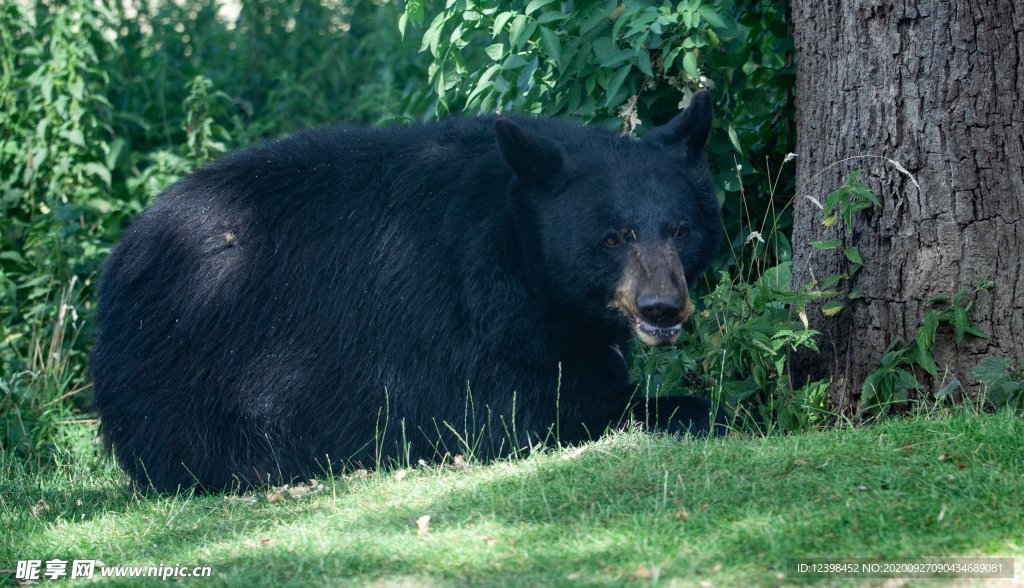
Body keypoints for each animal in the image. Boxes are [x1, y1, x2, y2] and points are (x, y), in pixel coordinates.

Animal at [94, 90, 720, 491]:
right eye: (613, 237)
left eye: (680, 230)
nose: (662, 308)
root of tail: (124, 253)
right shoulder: (463, 315)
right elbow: (520, 412)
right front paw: (695, 408)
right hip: (195, 359)